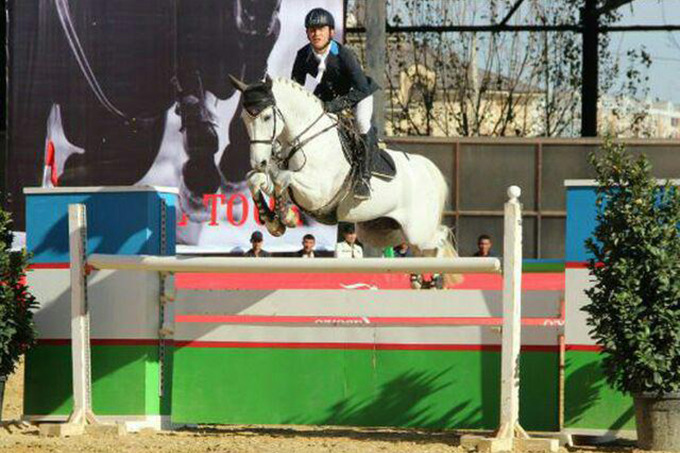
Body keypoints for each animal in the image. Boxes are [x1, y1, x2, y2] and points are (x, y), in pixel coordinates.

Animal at [231, 76, 460, 280]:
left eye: (266, 117)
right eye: (244, 118)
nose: (259, 162)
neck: (307, 138)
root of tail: (428, 169)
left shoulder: (318, 194)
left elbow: (282, 178)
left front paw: (286, 217)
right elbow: (257, 179)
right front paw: (273, 221)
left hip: (418, 232)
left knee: (439, 240)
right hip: (384, 231)